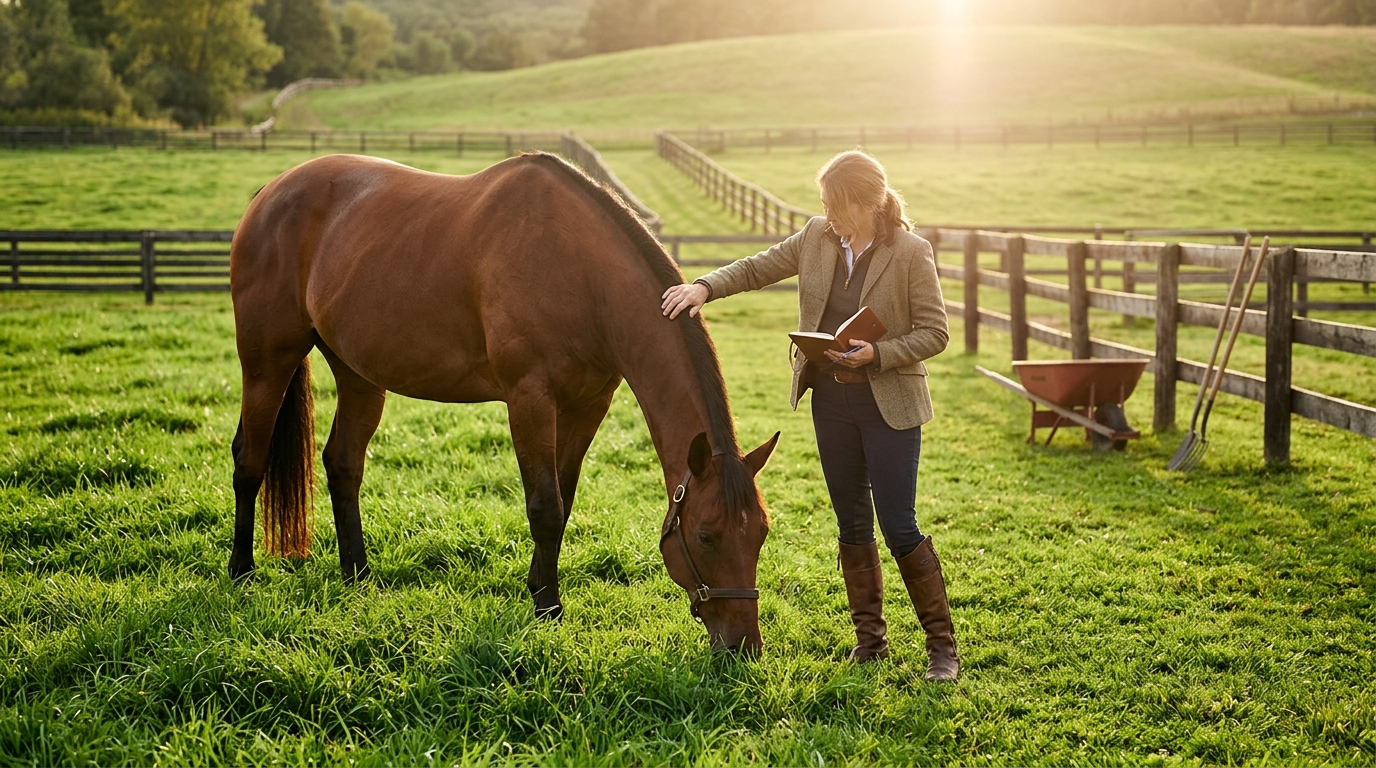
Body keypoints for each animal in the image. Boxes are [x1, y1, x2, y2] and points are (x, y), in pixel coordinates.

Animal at [227, 152, 778, 653]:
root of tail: (268, 193)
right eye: (706, 536)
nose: (744, 645)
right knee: (249, 460)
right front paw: (549, 607)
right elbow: (545, 505)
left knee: (343, 464)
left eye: (760, 535)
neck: (577, 270)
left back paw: (357, 575)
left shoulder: (588, 405)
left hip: (359, 374)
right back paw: (241, 571)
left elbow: (564, 499)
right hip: (267, 362)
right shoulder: (529, 398)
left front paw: (539, 588)